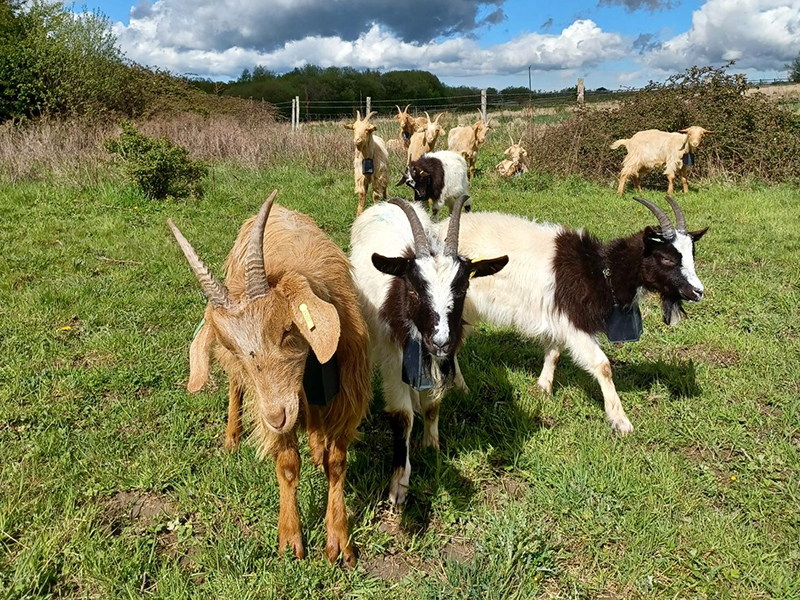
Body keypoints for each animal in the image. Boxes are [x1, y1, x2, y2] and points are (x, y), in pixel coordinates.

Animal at [168, 191, 371, 567]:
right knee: (236, 387)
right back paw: (232, 436)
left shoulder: (347, 393)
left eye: (288, 329)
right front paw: (290, 539)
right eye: (231, 345)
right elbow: (288, 465)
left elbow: (336, 463)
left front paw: (339, 542)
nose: (276, 417)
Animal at [350, 196, 507, 505]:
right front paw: (399, 485)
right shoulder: (392, 356)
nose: (441, 341)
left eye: (463, 287)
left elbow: (433, 404)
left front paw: (431, 444)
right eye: (413, 289)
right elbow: (402, 417)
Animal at [439, 195, 708, 434]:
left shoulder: (558, 318)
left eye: (692, 255)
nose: (698, 292)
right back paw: (461, 388)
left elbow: (554, 352)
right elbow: (603, 365)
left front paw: (543, 390)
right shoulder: (575, 324)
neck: (599, 271)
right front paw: (621, 421)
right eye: (666, 258)